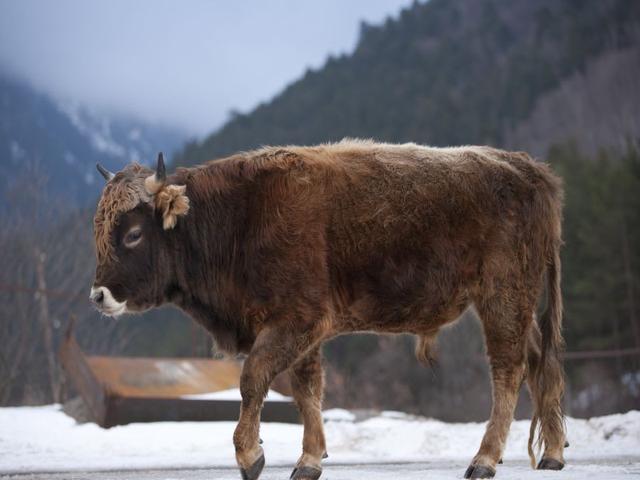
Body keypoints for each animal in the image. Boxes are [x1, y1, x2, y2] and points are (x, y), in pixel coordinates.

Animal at [90, 139, 566, 479]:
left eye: (133, 233)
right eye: (99, 230)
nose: (98, 295)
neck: (240, 216)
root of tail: (530, 169)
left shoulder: (295, 322)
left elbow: (253, 380)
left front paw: (250, 456)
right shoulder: (304, 334)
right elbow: (307, 391)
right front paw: (308, 462)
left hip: (502, 299)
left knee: (508, 371)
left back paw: (483, 461)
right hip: (519, 308)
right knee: (540, 362)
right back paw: (554, 455)